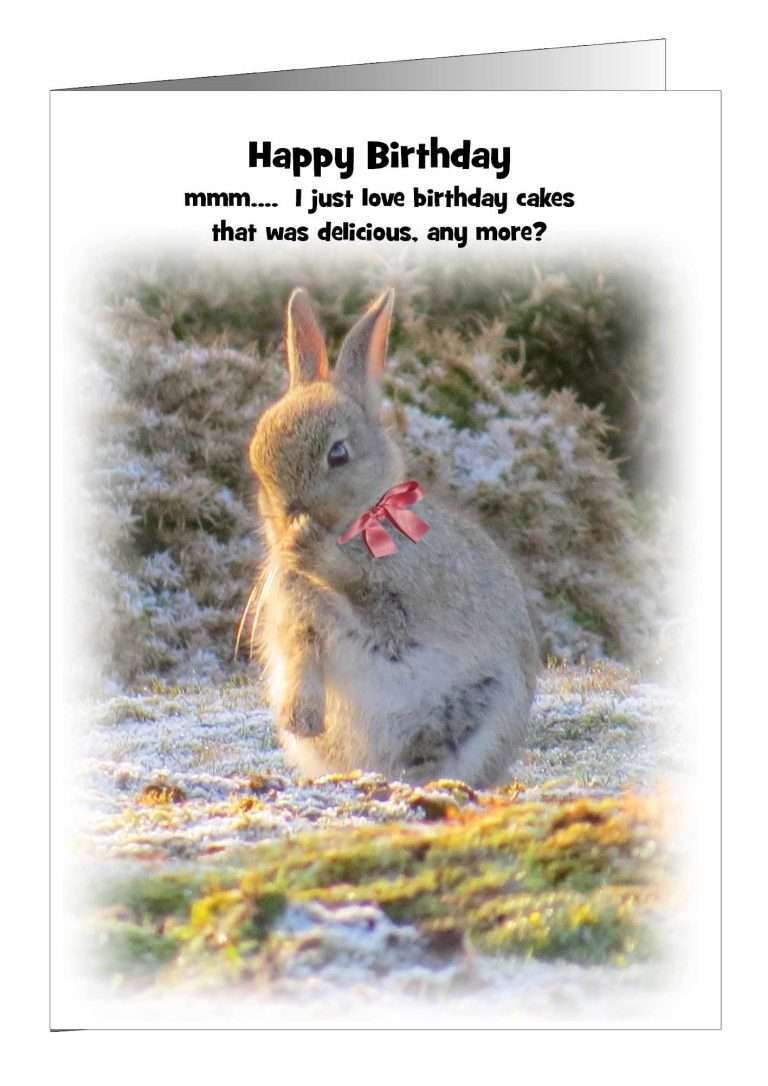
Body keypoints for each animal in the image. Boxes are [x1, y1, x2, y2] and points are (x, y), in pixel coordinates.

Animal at [247, 287, 539, 788]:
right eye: (257, 462)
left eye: (338, 454)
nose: (289, 517)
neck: (358, 523)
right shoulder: (297, 623)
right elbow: (303, 659)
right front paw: (301, 719)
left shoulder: (405, 599)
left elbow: (370, 601)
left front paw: (314, 551)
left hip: (476, 712)